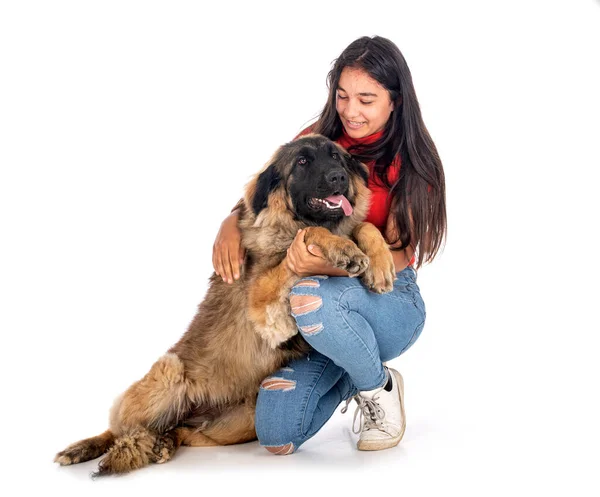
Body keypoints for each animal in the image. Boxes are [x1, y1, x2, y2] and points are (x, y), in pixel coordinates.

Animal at [54, 134, 396, 474]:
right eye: (302, 161)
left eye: (336, 157)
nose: (338, 178)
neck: (288, 224)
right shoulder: (262, 301)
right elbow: (313, 231)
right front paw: (344, 249)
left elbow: (364, 226)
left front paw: (379, 262)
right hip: (170, 373)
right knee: (119, 429)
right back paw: (83, 448)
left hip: (241, 421)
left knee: (181, 431)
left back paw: (164, 443)